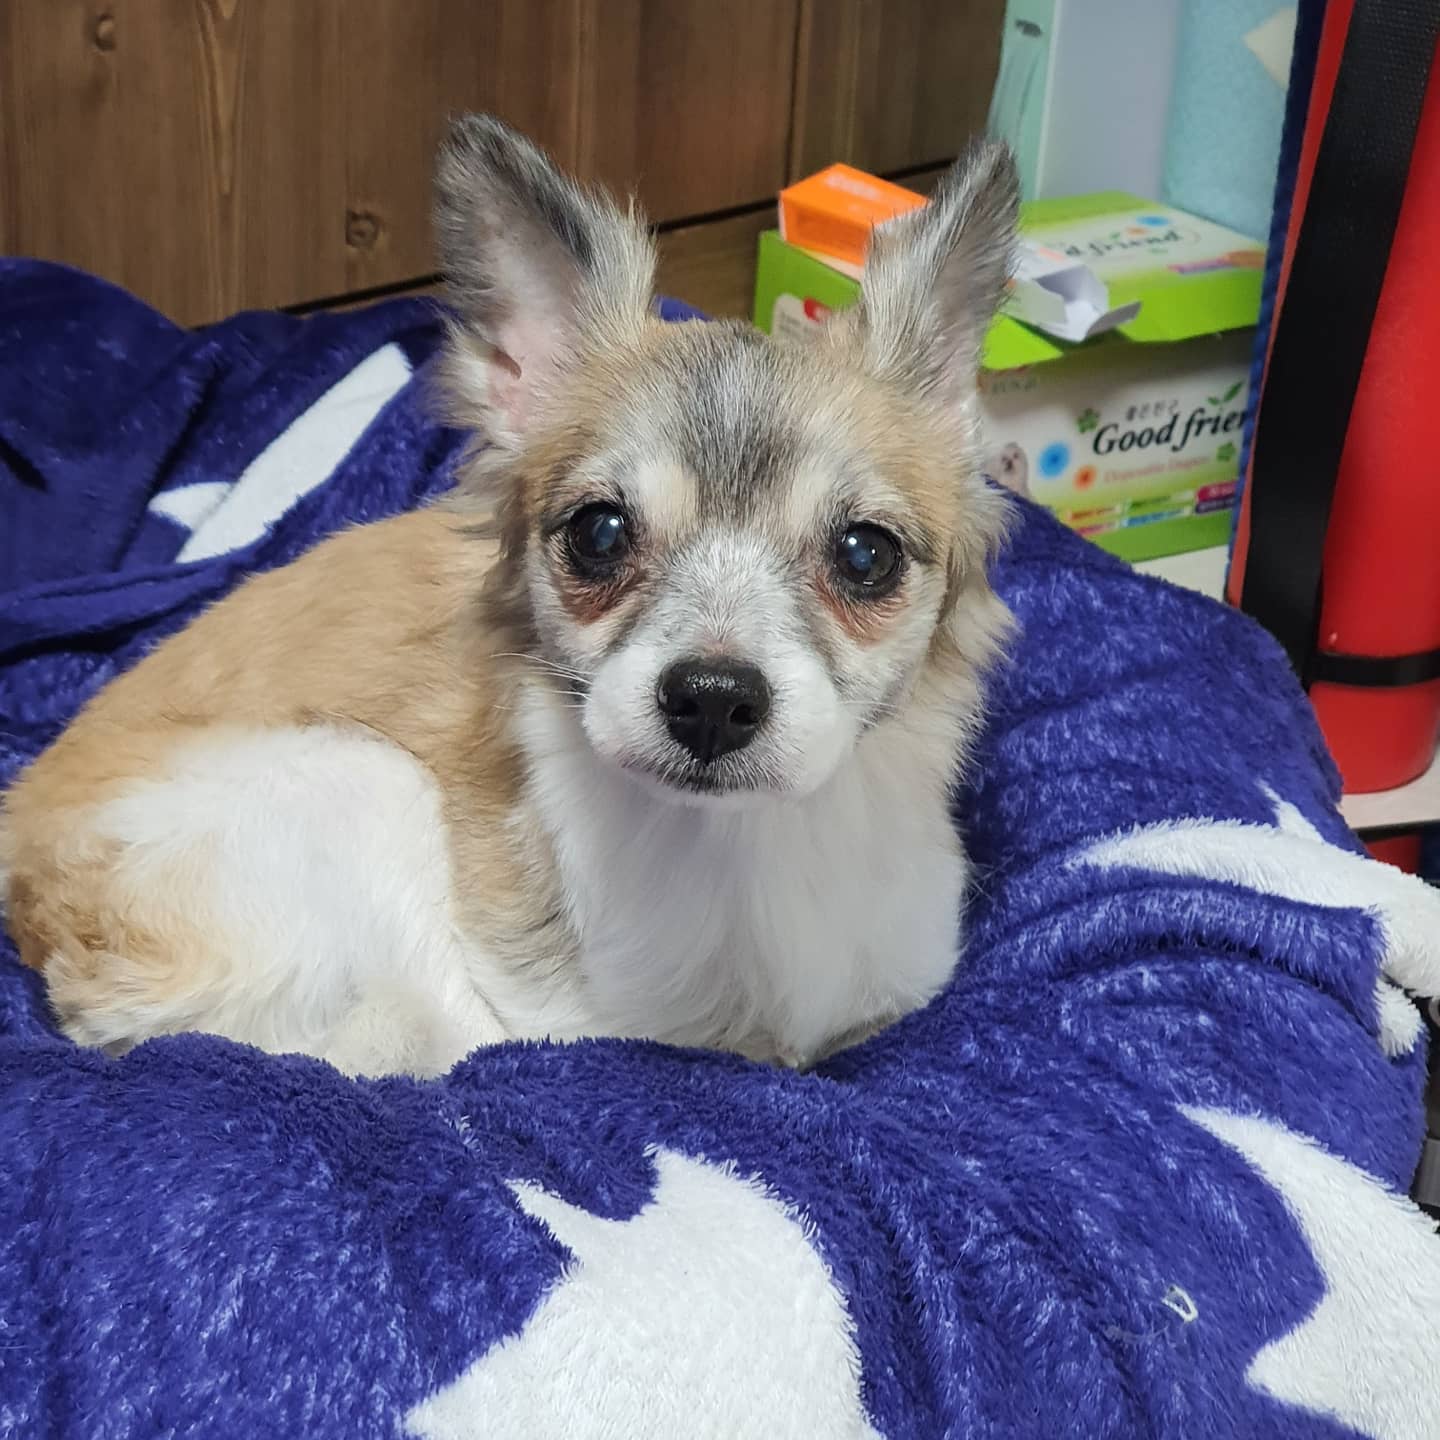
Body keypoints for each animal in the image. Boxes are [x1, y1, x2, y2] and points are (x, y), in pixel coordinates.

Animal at [1, 117, 1018, 1077]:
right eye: (599, 534)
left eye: (864, 556)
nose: (712, 698)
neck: (738, 848)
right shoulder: (550, 1017)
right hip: (358, 784)